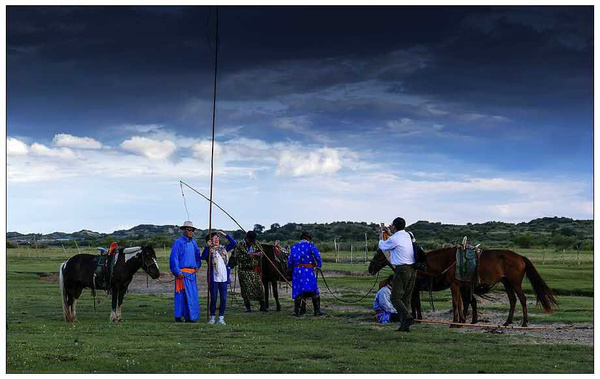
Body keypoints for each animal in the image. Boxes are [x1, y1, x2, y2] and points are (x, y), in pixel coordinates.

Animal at [366, 248, 556, 328]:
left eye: (379, 253)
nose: (370, 268)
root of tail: (520, 257)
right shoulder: (453, 286)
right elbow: (457, 303)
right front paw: (459, 321)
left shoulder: (454, 286)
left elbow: (455, 304)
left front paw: (455, 323)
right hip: (506, 283)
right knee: (512, 300)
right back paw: (507, 322)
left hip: (514, 282)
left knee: (522, 299)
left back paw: (524, 322)